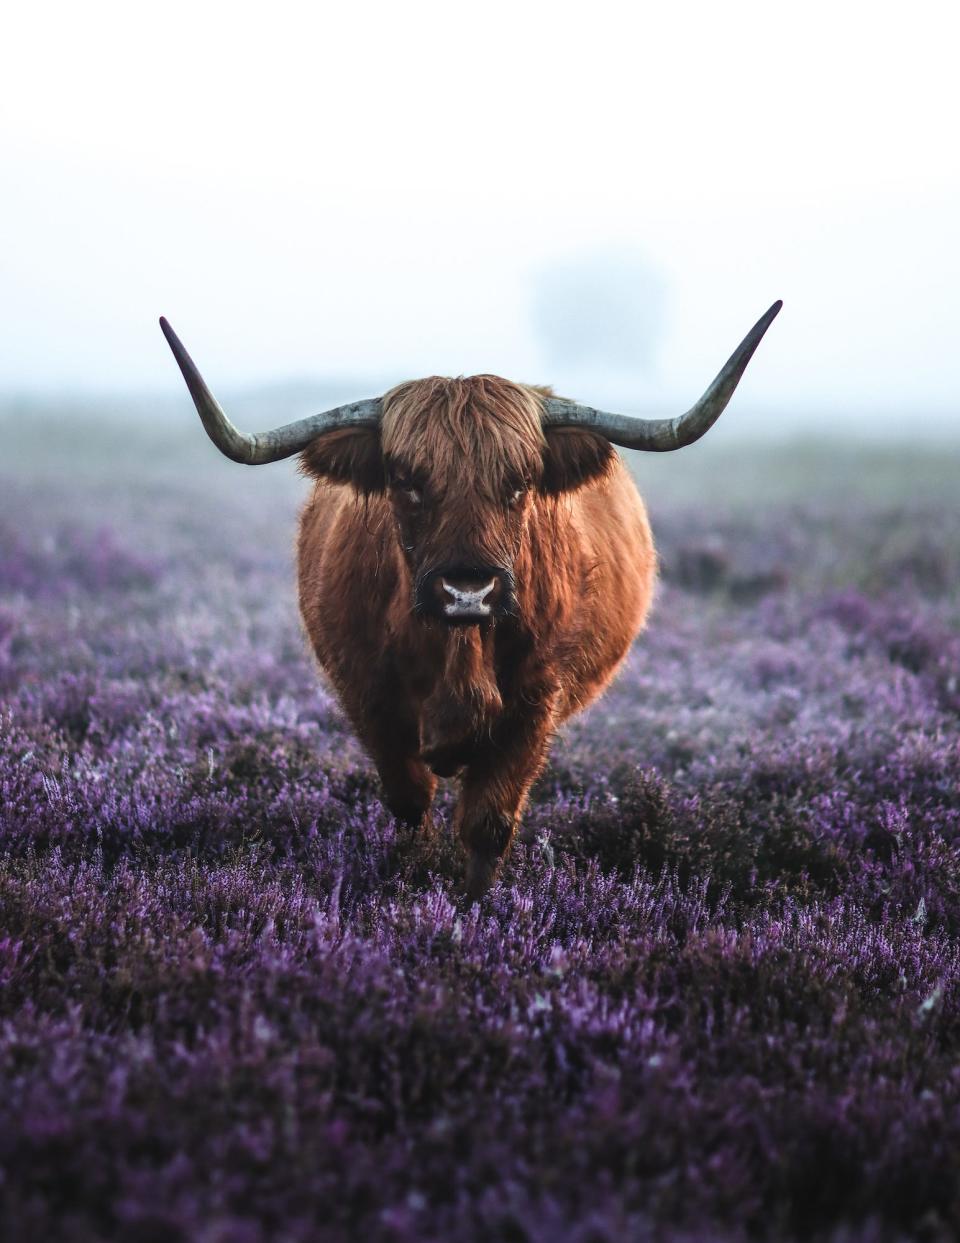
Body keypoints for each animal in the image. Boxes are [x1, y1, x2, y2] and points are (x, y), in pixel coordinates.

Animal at [161, 305, 785, 899]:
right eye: (405, 479)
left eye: (521, 481)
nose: (468, 590)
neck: (458, 652)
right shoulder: (370, 698)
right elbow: (410, 805)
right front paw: (413, 880)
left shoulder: (534, 703)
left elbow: (488, 823)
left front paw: (473, 909)